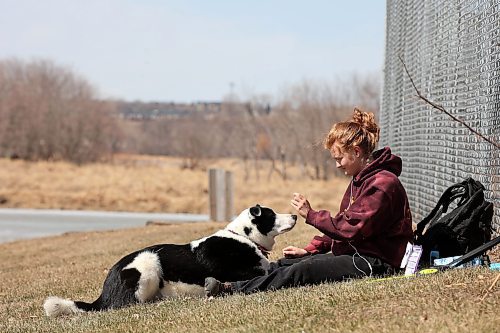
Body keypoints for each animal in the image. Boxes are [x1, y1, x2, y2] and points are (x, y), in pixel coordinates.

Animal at [44, 204, 296, 316]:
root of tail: (105, 292)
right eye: (272, 214)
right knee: (128, 304)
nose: (295, 215)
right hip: (147, 269)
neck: (244, 236)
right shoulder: (247, 273)